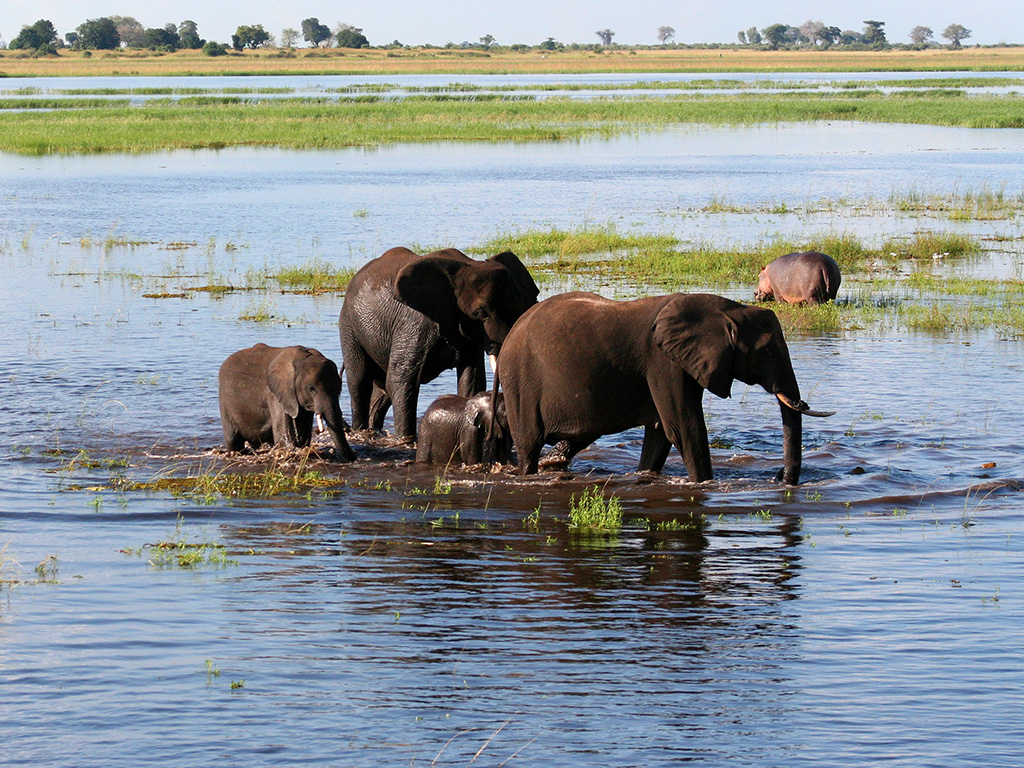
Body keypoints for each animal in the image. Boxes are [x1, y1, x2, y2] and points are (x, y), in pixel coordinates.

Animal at [217, 344, 356, 462]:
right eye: (311, 388)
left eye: (339, 389)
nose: (355, 457)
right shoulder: (276, 394)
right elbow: (284, 436)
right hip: (225, 400)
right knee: (233, 439)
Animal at [339, 244, 540, 438]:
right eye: (480, 314)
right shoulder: (415, 323)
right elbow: (401, 381)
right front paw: (406, 440)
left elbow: (472, 379)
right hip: (349, 324)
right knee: (360, 381)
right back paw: (360, 430)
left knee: (381, 391)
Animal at [495, 290, 831, 483]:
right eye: (768, 352)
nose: (779, 476)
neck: (728, 309)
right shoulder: (663, 361)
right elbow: (684, 427)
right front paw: (704, 484)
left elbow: (660, 432)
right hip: (521, 381)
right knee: (529, 444)